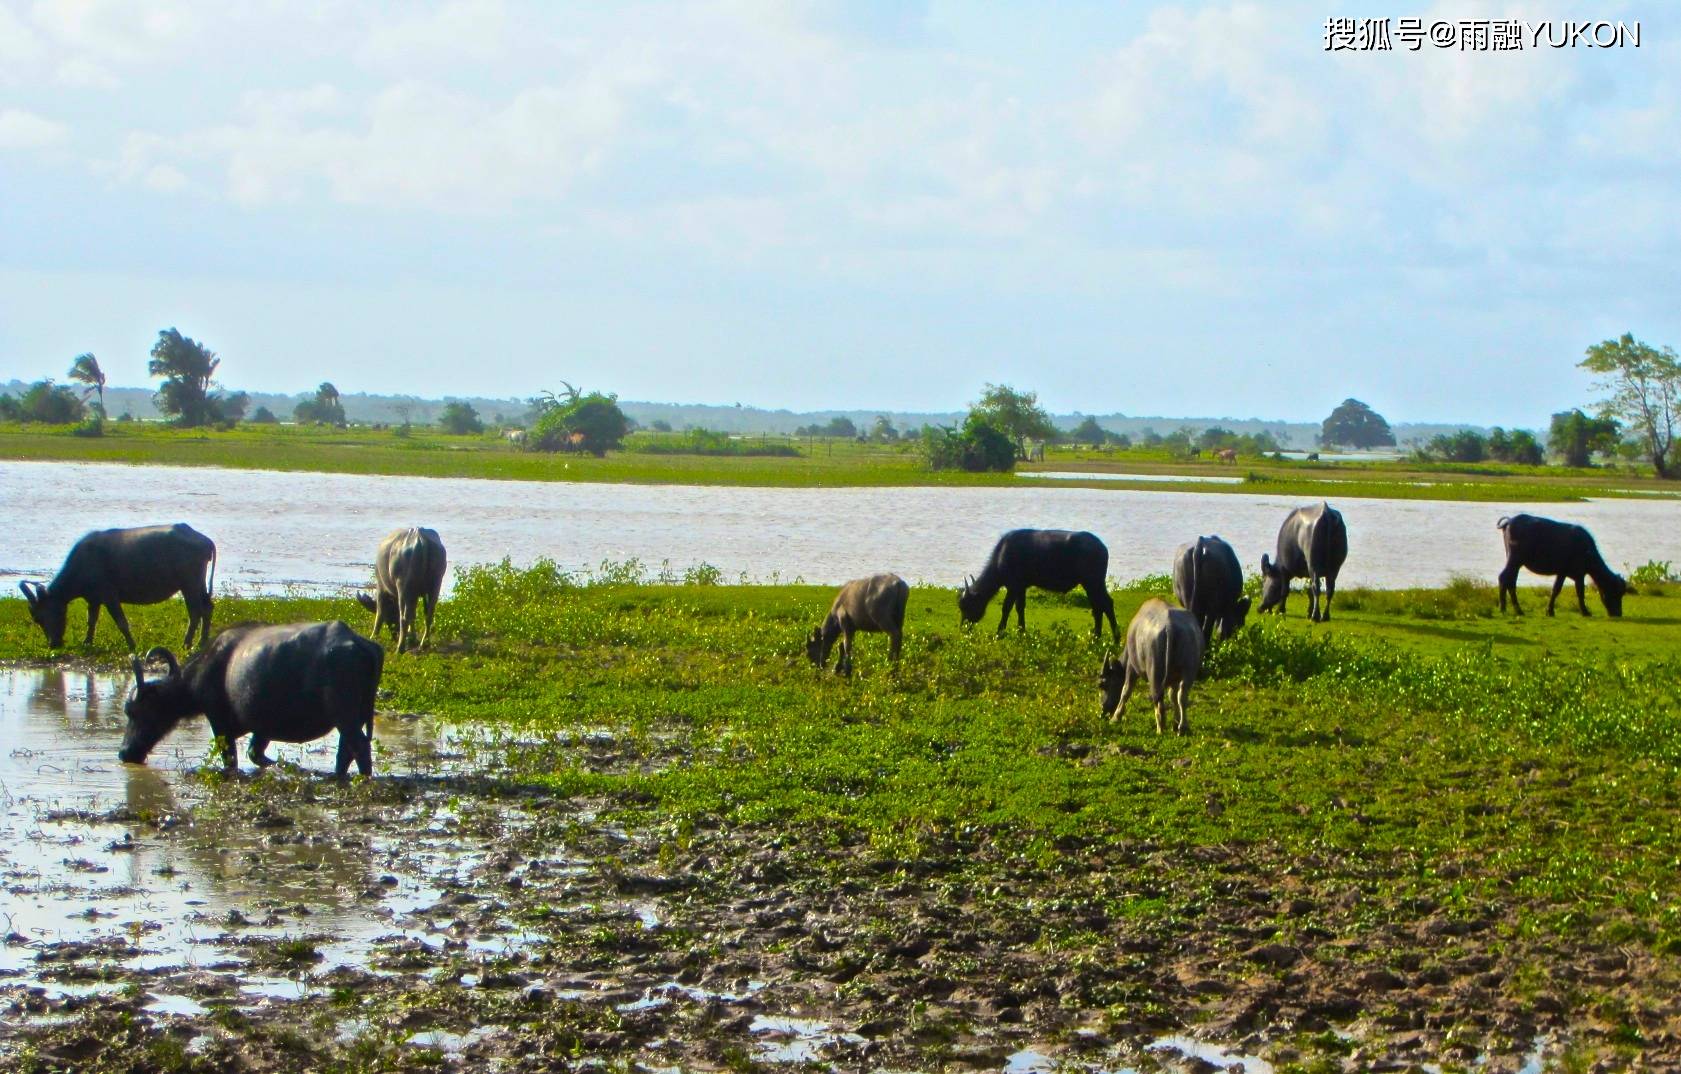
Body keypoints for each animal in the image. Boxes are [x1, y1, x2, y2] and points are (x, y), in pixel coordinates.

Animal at [17, 524, 215, 652]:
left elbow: (121, 622)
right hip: (199, 584)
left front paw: (132, 645)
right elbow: (91, 621)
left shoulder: (109, 596)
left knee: (195, 612)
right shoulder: (93, 599)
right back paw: (202, 643)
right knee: (207, 608)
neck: (83, 563)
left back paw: (187, 643)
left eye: (38, 617)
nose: (53, 644)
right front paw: (87, 642)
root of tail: (205, 540)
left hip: (189, 584)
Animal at [123, 621, 386, 779]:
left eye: (135, 711)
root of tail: (360, 643)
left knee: (358, 746)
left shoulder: (219, 722)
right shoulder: (263, 727)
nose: (125, 753)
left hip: (345, 716)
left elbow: (231, 758)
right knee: (346, 750)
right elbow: (254, 753)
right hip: (355, 716)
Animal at [961, 531, 1116, 638]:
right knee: (1098, 607)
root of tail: (1103, 548)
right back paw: (1096, 637)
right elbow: (1020, 607)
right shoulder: (1021, 587)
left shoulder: (1013, 586)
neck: (1002, 556)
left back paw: (1115, 637)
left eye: (966, 606)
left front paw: (999, 632)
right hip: (1092, 585)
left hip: (1094, 582)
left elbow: (1006, 608)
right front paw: (1021, 631)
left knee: (1106, 604)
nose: (963, 627)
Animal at [1096, 601, 1203, 736]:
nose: (1102, 712)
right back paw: (1183, 727)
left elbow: (1126, 690)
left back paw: (1160, 728)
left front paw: (1116, 717)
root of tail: (1170, 626)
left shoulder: (1131, 667)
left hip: (1154, 671)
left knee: (1158, 698)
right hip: (1189, 670)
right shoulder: (1175, 678)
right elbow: (1173, 697)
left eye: (1102, 685)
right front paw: (1175, 723)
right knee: (1182, 696)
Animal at [1499, 514, 1627, 618]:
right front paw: (1585, 612)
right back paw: (1506, 609)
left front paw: (1550, 611)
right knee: (1504, 577)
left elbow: (1556, 589)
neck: (1587, 551)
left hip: (1515, 562)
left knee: (1511, 581)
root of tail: (1509, 521)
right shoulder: (1579, 574)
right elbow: (1580, 592)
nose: (1618, 614)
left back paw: (1514, 610)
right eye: (1616, 593)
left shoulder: (1562, 572)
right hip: (1515, 559)